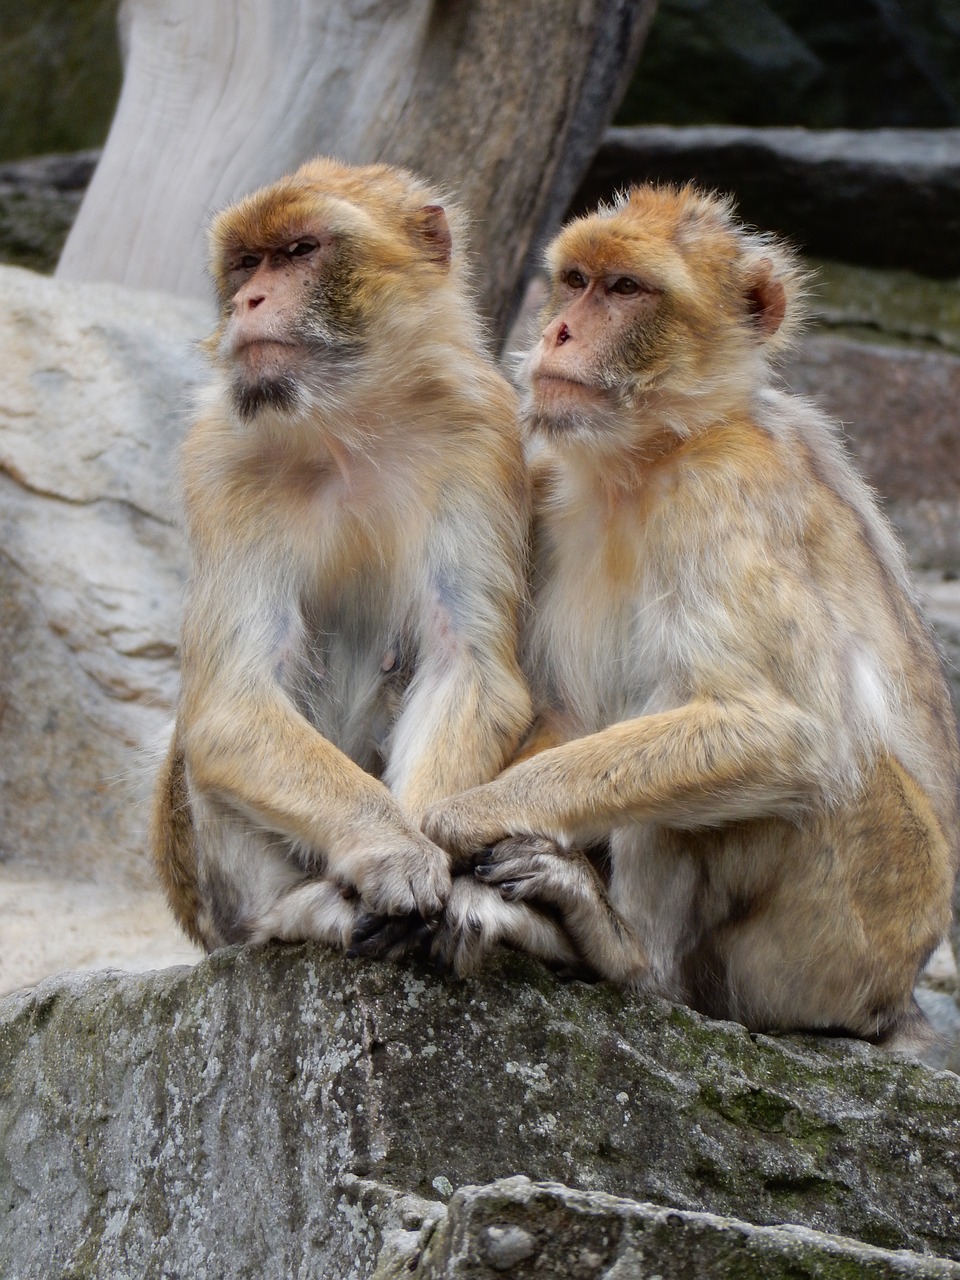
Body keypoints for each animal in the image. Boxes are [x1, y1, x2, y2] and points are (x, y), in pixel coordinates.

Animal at [154, 157, 537, 952]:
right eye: (247, 262)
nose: (250, 300)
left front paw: (431, 854)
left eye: (300, 251)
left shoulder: (481, 434)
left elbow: (467, 666)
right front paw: (393, 851)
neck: (346, 425)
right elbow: (232, 704)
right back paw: (295, 912)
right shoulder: (219, 456)